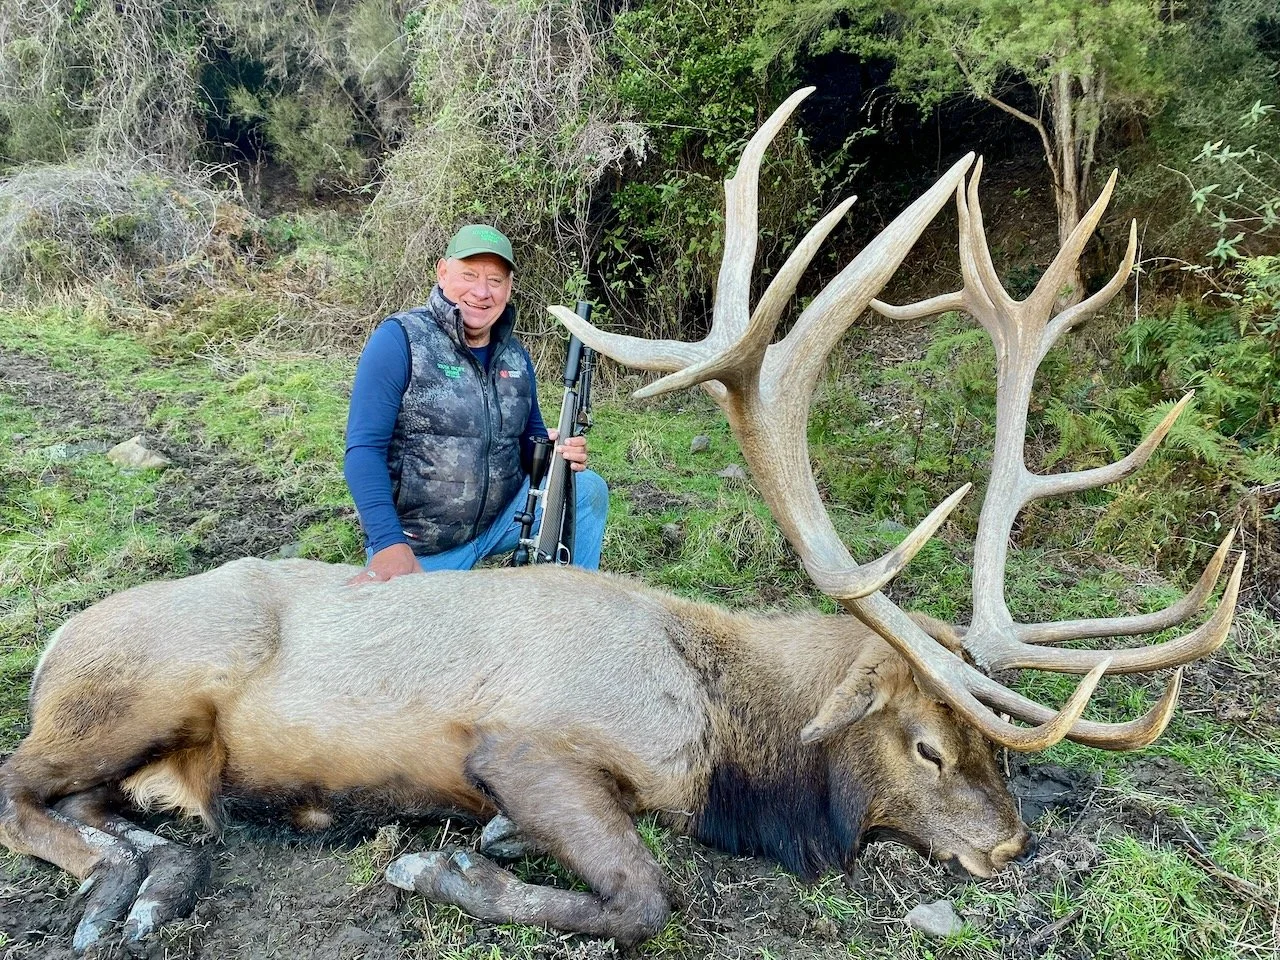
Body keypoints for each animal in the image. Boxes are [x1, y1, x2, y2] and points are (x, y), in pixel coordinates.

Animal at [0, 88, 1242, 954]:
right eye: (926, 744)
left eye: (985, 745)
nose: (1007, 841)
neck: (729, 745)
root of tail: (55, 643)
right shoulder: (525, 737)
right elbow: (642, 894)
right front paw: (442, 873)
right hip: (139, 684)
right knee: (17, 786)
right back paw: (120, 893)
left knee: (102, 810)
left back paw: (147, 877)